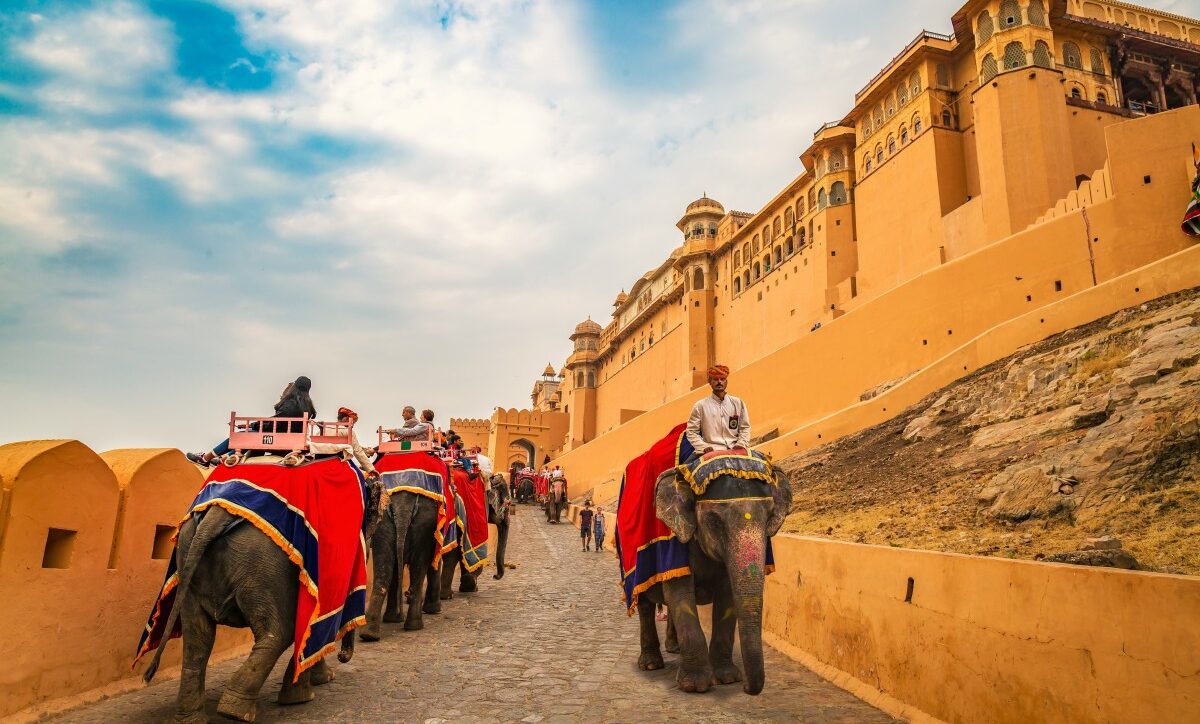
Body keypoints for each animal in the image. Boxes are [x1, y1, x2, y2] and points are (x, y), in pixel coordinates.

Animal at [638, 468, 796, 696]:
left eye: (769, 517)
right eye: (714, 521)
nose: (746, 688)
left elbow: (727, 596)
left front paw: (727, 678)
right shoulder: (674, 546)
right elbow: (680, 595)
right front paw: (694, 686)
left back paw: (674, 649)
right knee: (644, 605)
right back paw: (650, 664)